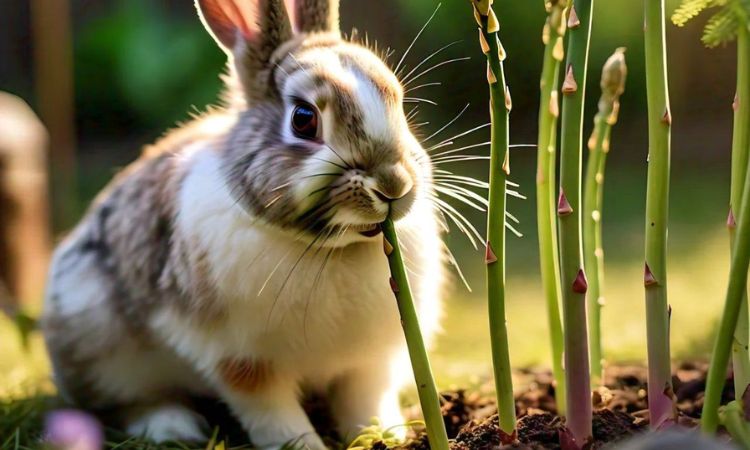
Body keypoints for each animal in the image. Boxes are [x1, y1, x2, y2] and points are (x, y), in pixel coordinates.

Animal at [42, 0, 446, 450]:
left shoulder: (370, 360)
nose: (394, 185)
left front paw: (385, 434)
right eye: (303, 119)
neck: (329, 251)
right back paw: (171, 426)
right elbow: (272, 413)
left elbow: (364, 399)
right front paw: (303, 445)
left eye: (397, 98)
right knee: (123, 404)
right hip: (102, 348)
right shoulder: (242, 362)